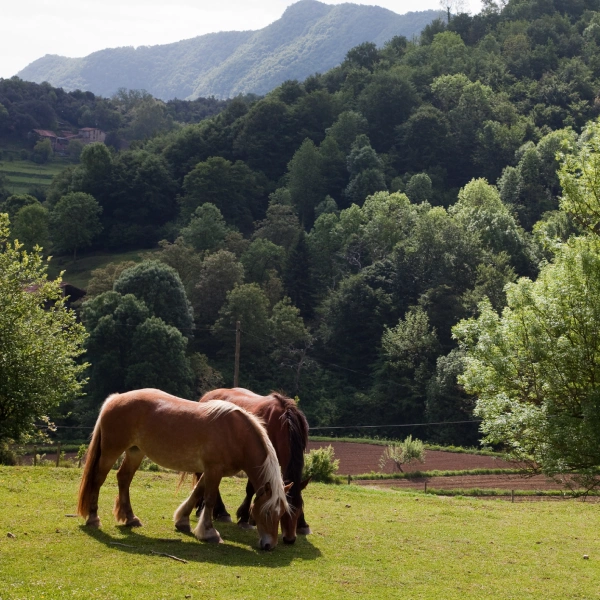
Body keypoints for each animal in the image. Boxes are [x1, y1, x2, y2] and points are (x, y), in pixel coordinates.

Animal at [78, 386, 290, 552]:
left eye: (281, 514)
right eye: (267, 512)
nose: (269, 545)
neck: (236, 434)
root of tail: (115, 398)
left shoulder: (210, 471)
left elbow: (197, 493)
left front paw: (182, 521)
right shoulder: (214, 470)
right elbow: (209, 499)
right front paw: (209, 533)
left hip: (135, 452)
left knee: (124, 478)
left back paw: (131, 518)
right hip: (111, 451)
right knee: (98, 479)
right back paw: (93, 518)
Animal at [197, 386, 312, 548]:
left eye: (299, 508)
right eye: (284, 512)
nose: (290, 539)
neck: (282, 423)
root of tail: (206, 396)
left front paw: (302, 523)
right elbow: (251, 489)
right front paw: (245, 517)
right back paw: (210, 510)